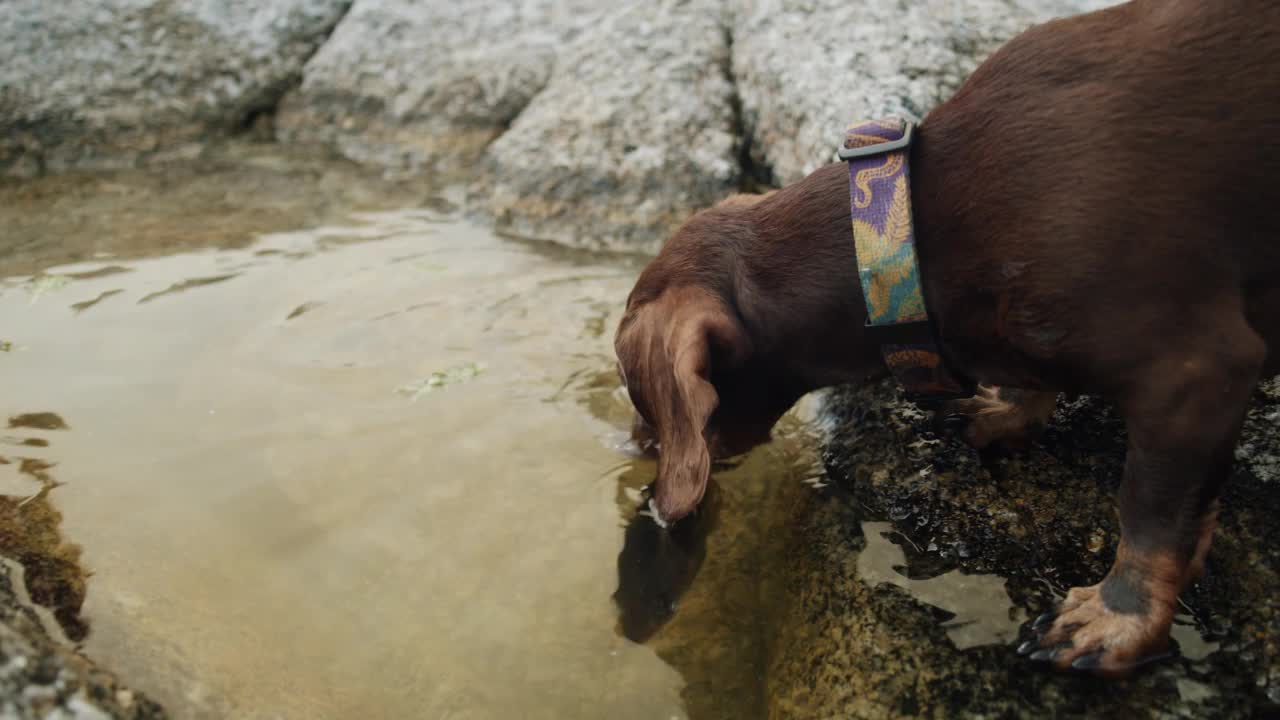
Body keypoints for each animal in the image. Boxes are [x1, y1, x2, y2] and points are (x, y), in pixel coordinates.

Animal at [611, 0, 1280, 671]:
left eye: (640, 395)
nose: (637, 450)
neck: (906, 238)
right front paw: (1007, 410)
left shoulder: (1195, 376)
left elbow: (1152, 519)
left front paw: (1119, 618)